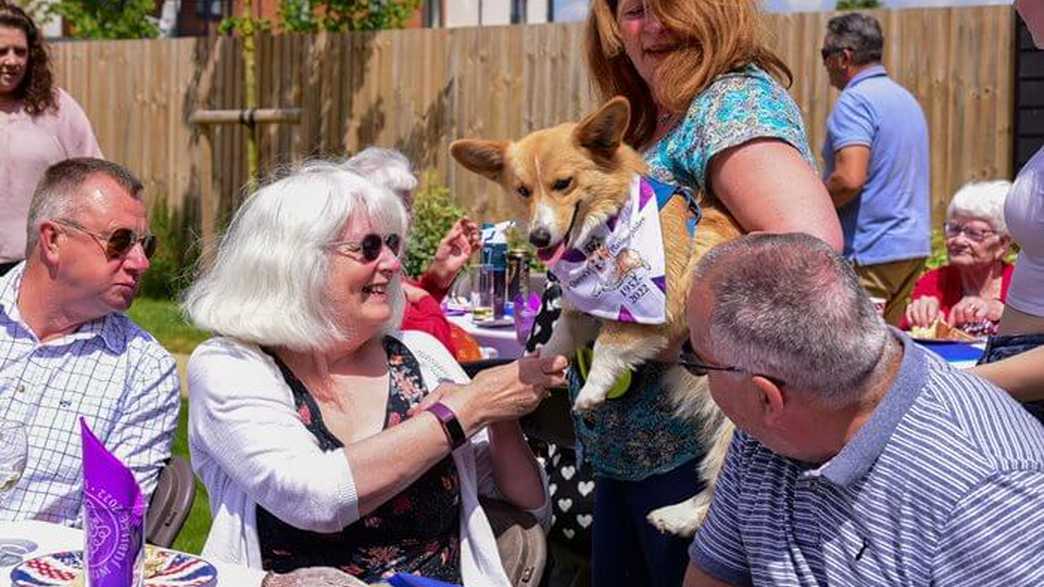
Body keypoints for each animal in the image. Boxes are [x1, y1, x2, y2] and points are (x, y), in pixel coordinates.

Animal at [455, 97, 743, 534]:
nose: (539, 237)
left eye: (563, 184)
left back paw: (682, 519)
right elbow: (558, 339)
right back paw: (673, 514)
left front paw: (591, 391)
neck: (607, 228)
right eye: (523, 191)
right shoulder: (579, 313)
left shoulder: (658, 307)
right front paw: (535, 366)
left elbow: (610, 344)